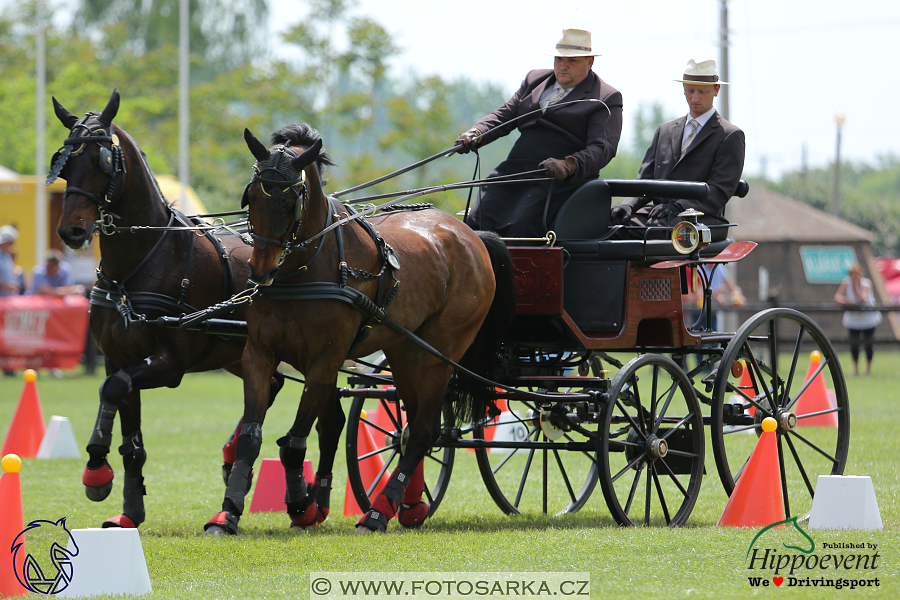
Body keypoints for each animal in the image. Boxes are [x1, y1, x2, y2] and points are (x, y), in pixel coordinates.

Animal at [50, 89, 344, 528]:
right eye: (66, 162)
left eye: (102, 162)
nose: (71, 230)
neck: (140, 264)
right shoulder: (118, 357)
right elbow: (126, 426)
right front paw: (128, 510)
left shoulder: (169, 364)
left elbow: (113, 389)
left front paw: (96, 469)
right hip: (242, 351)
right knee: (276, 386)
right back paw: (237, 458)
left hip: (317, 354)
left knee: (331, 420)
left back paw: (313, 501)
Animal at [204, 123, 512, 536]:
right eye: (251, 196)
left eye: (292, 201)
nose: (261, 271)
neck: (304, 269)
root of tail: (471, 234)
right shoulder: (259, 354)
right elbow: (254, 437)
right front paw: (228, 513)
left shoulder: (324, 361)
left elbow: (295, 442)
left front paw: (302, 506)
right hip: (404, 351)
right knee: (413, 427)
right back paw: (410, 505)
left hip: (439, 354)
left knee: (424, 430)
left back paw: (378, 512)